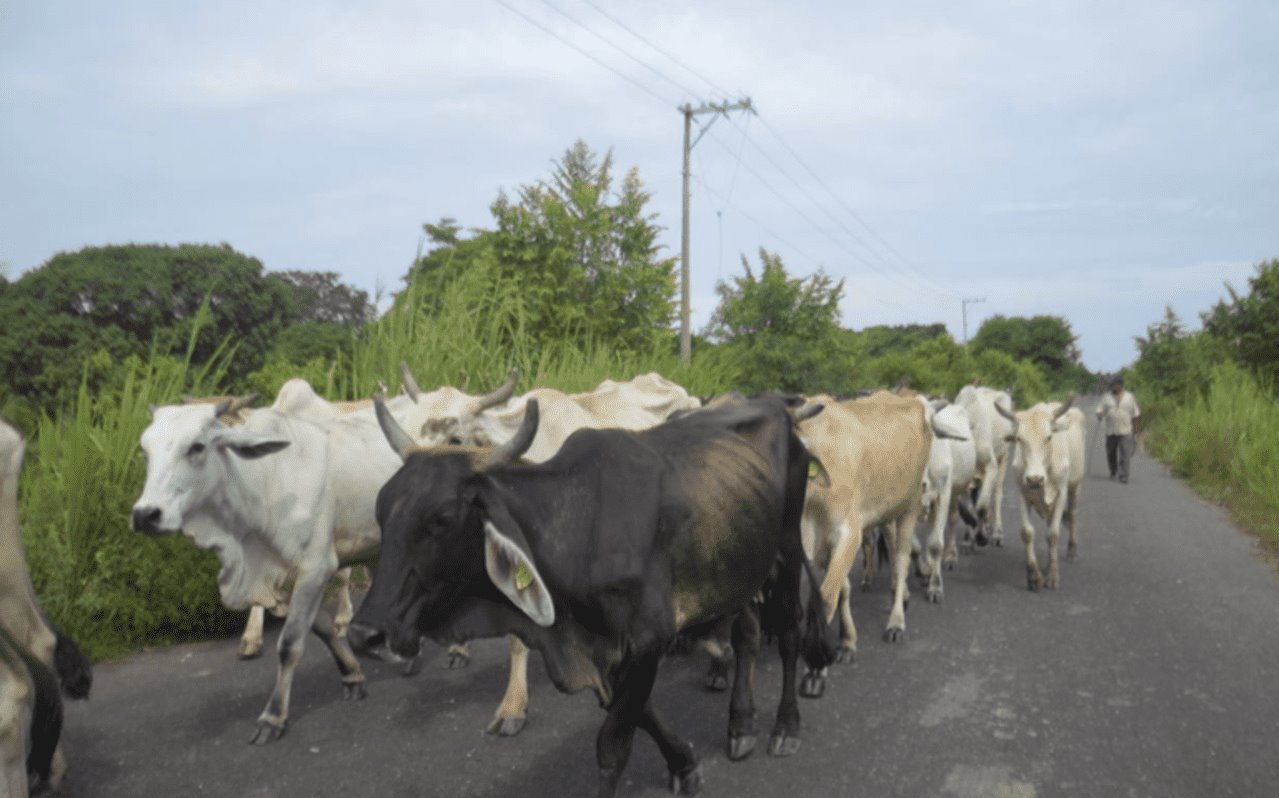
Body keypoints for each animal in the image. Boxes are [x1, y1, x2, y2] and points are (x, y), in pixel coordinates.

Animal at [350, 396, 833, 792]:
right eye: (381, 510)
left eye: (443, 518)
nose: (364, 634)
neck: (577, 527)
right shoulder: (601, 647)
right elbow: (639, 713)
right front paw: (685, 764)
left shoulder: (649, 638)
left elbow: (613, 745)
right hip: (742, 568)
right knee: (747, 636)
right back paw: (741, 725)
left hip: (787, 549)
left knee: (790, 632)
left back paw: (785, 727)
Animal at [956, 386, 1012, 547]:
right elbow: (965, 507)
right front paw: (972, 529)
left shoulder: (991, 466)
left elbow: (982, 506)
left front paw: (981, 536)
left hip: (1003, 458)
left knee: (996, 495)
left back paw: (997, 533)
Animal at [992, 399, 1084, 593]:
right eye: (1019, 439)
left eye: (1048, 437)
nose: (1035, 479)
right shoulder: (1023, 492)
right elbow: (1027, 532)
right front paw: (1034, 577)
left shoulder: (1061, 492)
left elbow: (1054, 534)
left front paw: (1053, 576)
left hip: (1075, 485)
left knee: (1072, 514)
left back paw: (1072, 550)